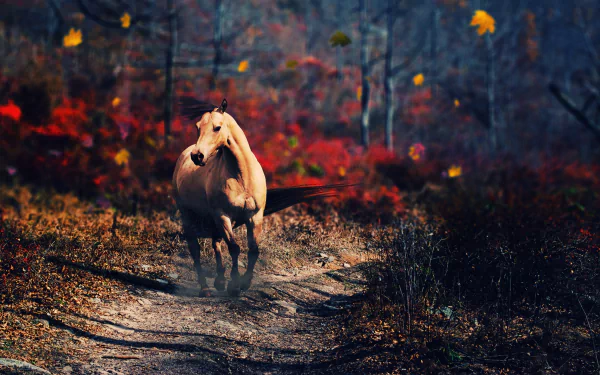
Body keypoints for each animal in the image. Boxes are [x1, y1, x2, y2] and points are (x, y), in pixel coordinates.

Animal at [172, 98, 352, 298]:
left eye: (217, 127)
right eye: (197, 127)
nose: (197, 156)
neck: (241, 176)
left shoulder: (254, 216)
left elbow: (253, 250)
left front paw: (244, 283)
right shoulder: (223, 215)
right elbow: (234, 248)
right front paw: (234, 286)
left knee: (215, 242)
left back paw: (219, 282)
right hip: (190, 215)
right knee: (195, 249)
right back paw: (205, 288)